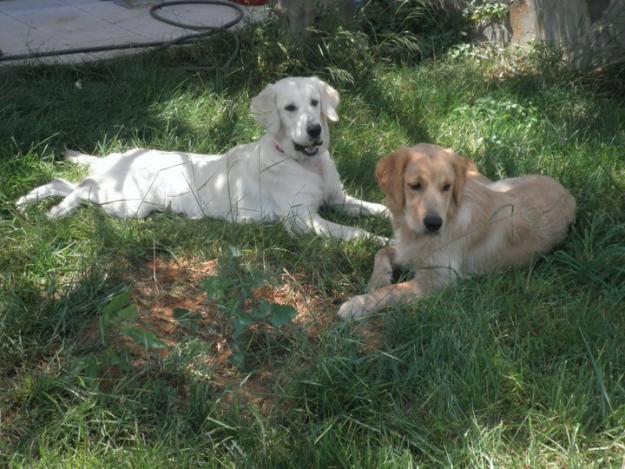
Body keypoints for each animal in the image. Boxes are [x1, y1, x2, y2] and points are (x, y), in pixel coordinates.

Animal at [17, 77, 388, 241]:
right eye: (290, 108)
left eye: (314, 103)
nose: (314, 130)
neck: (305, 163)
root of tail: (120, 156)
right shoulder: (302, 219)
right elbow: (355, 232)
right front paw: (383, 242)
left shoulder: (338, 198)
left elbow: (379, 209)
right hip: (125, 204)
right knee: (78, 189)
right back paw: (55, 211)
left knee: (64, 182)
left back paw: (27, 201)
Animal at [338, 143, 572, 318]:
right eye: (415, 185)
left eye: (446, 187)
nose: (434, 223)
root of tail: (568, 192)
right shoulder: (408, 250)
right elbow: (382, 252)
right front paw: (377, 281)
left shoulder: (438, 278)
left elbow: (393, 291)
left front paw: (357, 304)